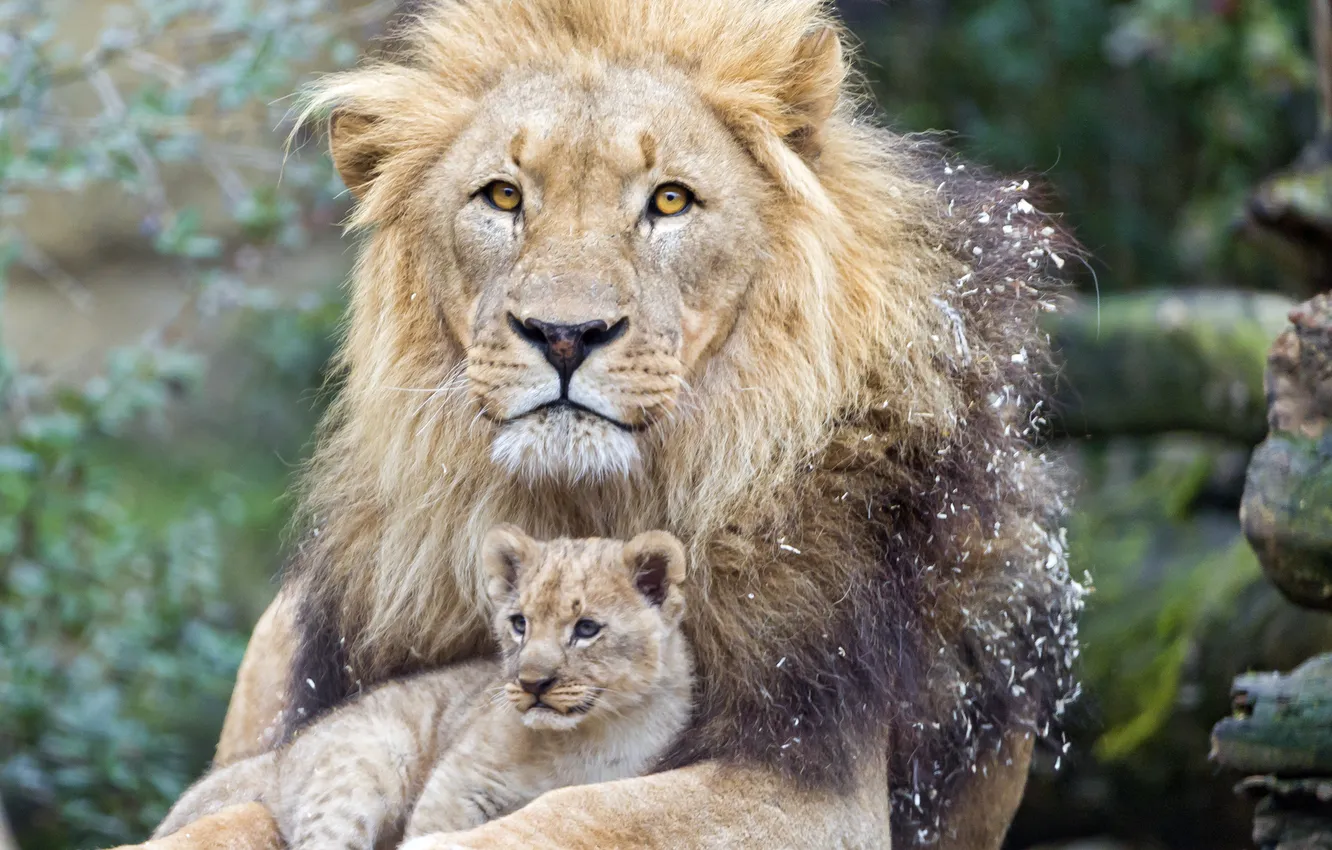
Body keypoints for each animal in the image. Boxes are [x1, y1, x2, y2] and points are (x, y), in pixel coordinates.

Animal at [150, 527, 694, 849]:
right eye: (519, 623)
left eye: (586, 628)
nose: (532, 683)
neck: (591, 734)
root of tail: (284, 755)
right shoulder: (461, 782)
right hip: (364, 770)